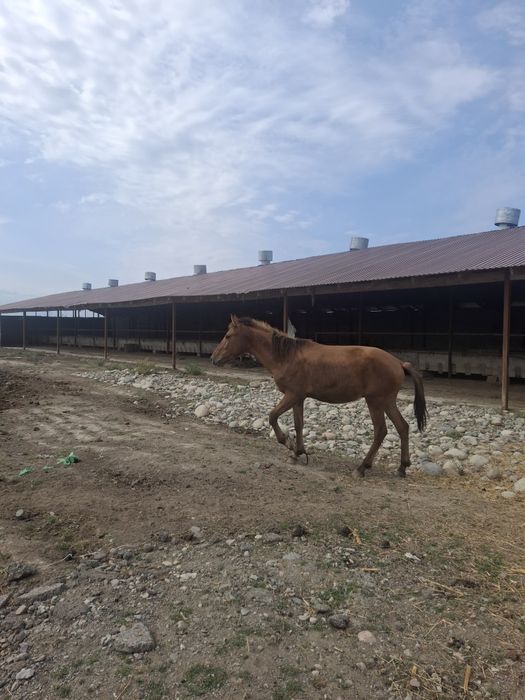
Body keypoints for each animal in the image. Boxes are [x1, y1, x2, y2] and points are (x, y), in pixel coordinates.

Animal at [211, 316, 428, 477]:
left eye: (228, 336)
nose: (214, 358)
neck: (286, 357)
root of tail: (399, 363)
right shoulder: (298, 398)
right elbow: (299, 424)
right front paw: (297, 453)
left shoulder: (292, 395)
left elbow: (272, 417)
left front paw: (288, 443)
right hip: (387, 402)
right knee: (402, 427)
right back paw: (402, 467)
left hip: (375, 402)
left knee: (381, 431)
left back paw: (362, 468)